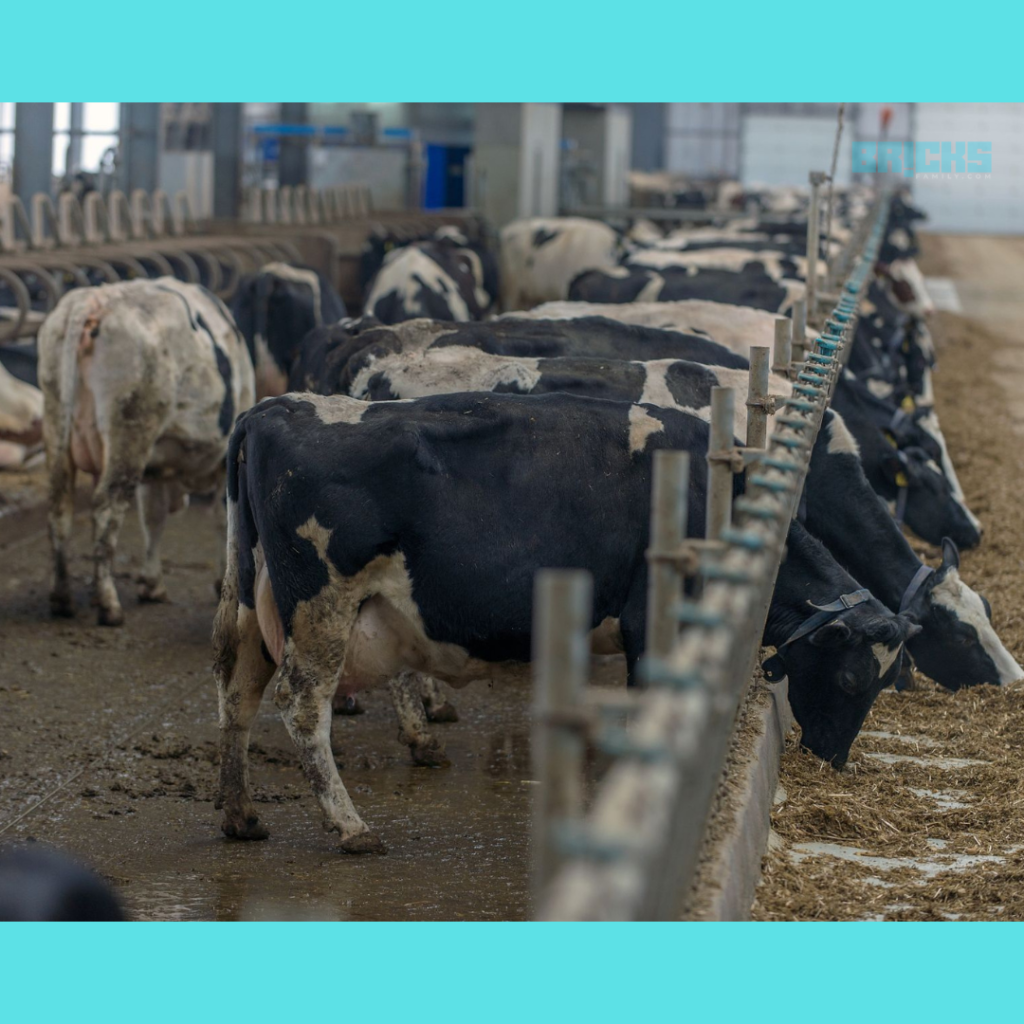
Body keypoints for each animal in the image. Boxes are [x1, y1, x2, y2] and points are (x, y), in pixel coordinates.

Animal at [39, 276, 256, 622]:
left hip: (56, 423)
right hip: (130, 435)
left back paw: (62, 597)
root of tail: (95, 301)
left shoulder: (154, 469)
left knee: (60, 509)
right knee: (106, 508)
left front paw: (152, 584)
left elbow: (153, 517)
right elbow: (223, 520)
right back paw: (109, 604)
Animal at [214, 389, 913, 847]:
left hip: (249, 605)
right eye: (852, 679)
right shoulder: (649, 623)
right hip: (322, 607)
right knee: (302, 707)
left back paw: (241, 816)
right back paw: (350, 826)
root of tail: (272, 408)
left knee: (237, 694)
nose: (833, 757)